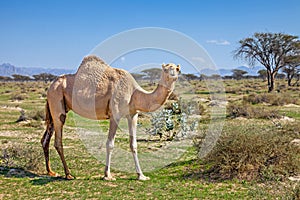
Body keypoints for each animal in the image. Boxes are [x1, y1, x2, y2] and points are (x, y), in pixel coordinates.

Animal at [40, 55, 179, 180]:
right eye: (166, 69)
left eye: (177, 69)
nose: (174, 74)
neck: (134, 92)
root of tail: (50, 86)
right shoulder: (115, 114)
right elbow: (110, 144)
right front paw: (107, 175)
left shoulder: (133, 115)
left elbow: (133, 144)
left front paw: (141, 175)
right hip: (57, 100)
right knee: (58, 140)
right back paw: (68, 174)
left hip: (56, 108)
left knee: (45, 139)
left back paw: (51, 172)